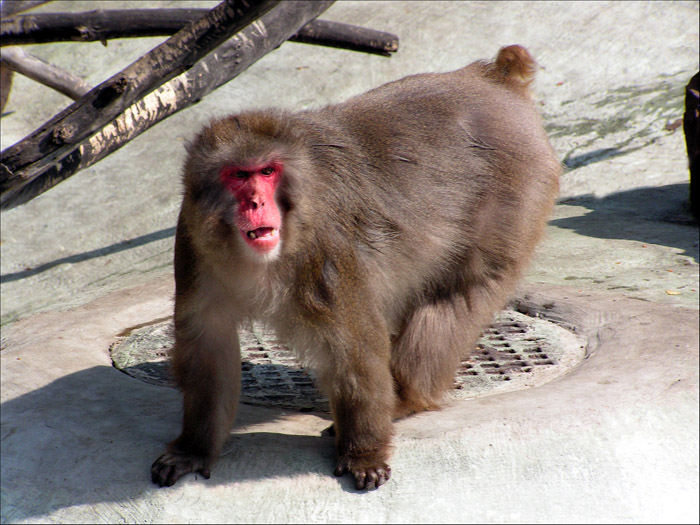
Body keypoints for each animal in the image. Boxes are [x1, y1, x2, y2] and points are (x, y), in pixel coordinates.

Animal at [150, 43, 560, 490]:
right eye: (238, 175)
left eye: (267, 171)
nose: (256, 202)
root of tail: (493, 79)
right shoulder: (192, 243)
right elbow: (208, 347)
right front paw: (193, 448)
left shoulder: (327, 247)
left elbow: (353, 347)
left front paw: (363, 452)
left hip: (516, 191)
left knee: (460, 292)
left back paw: (404, 398)